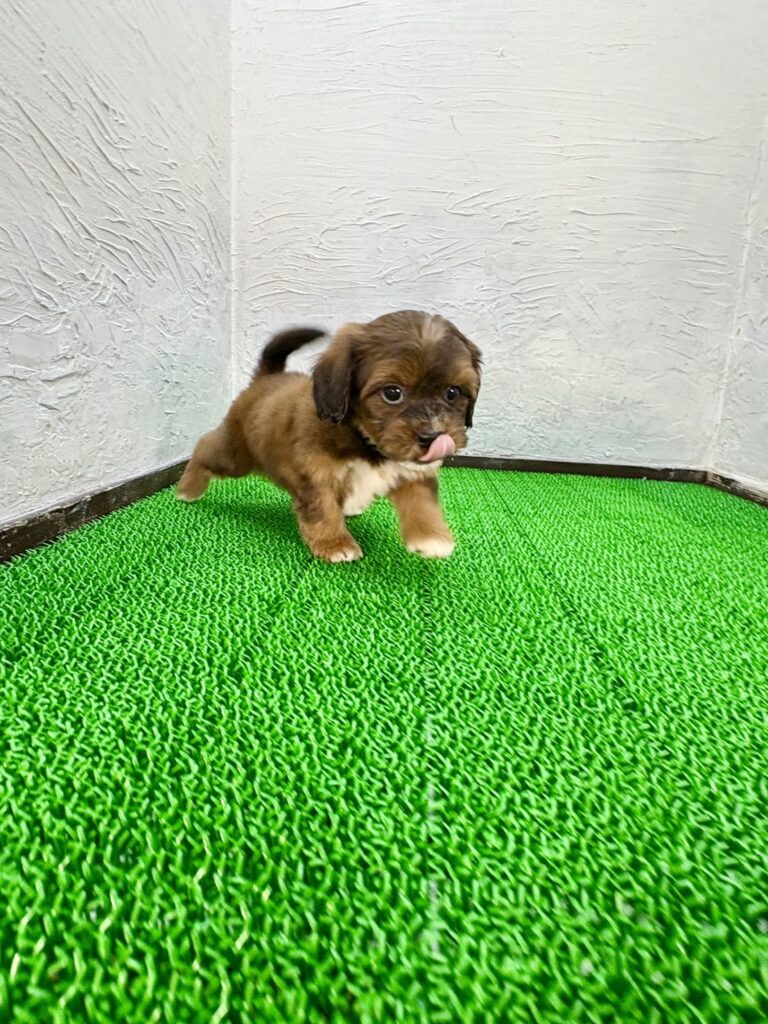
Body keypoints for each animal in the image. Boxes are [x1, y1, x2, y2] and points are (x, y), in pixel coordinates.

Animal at [177, 310, 481, 562]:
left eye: (452, 393)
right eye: (392, 393)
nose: (433, 435)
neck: (365, 441)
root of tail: (266, 378)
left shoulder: (411, 470)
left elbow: (422, 499)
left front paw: (431, 536)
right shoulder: (315, 473)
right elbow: (323, 509)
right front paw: (335, 544)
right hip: (235, 456)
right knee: (205, 446)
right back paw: (187, 488)